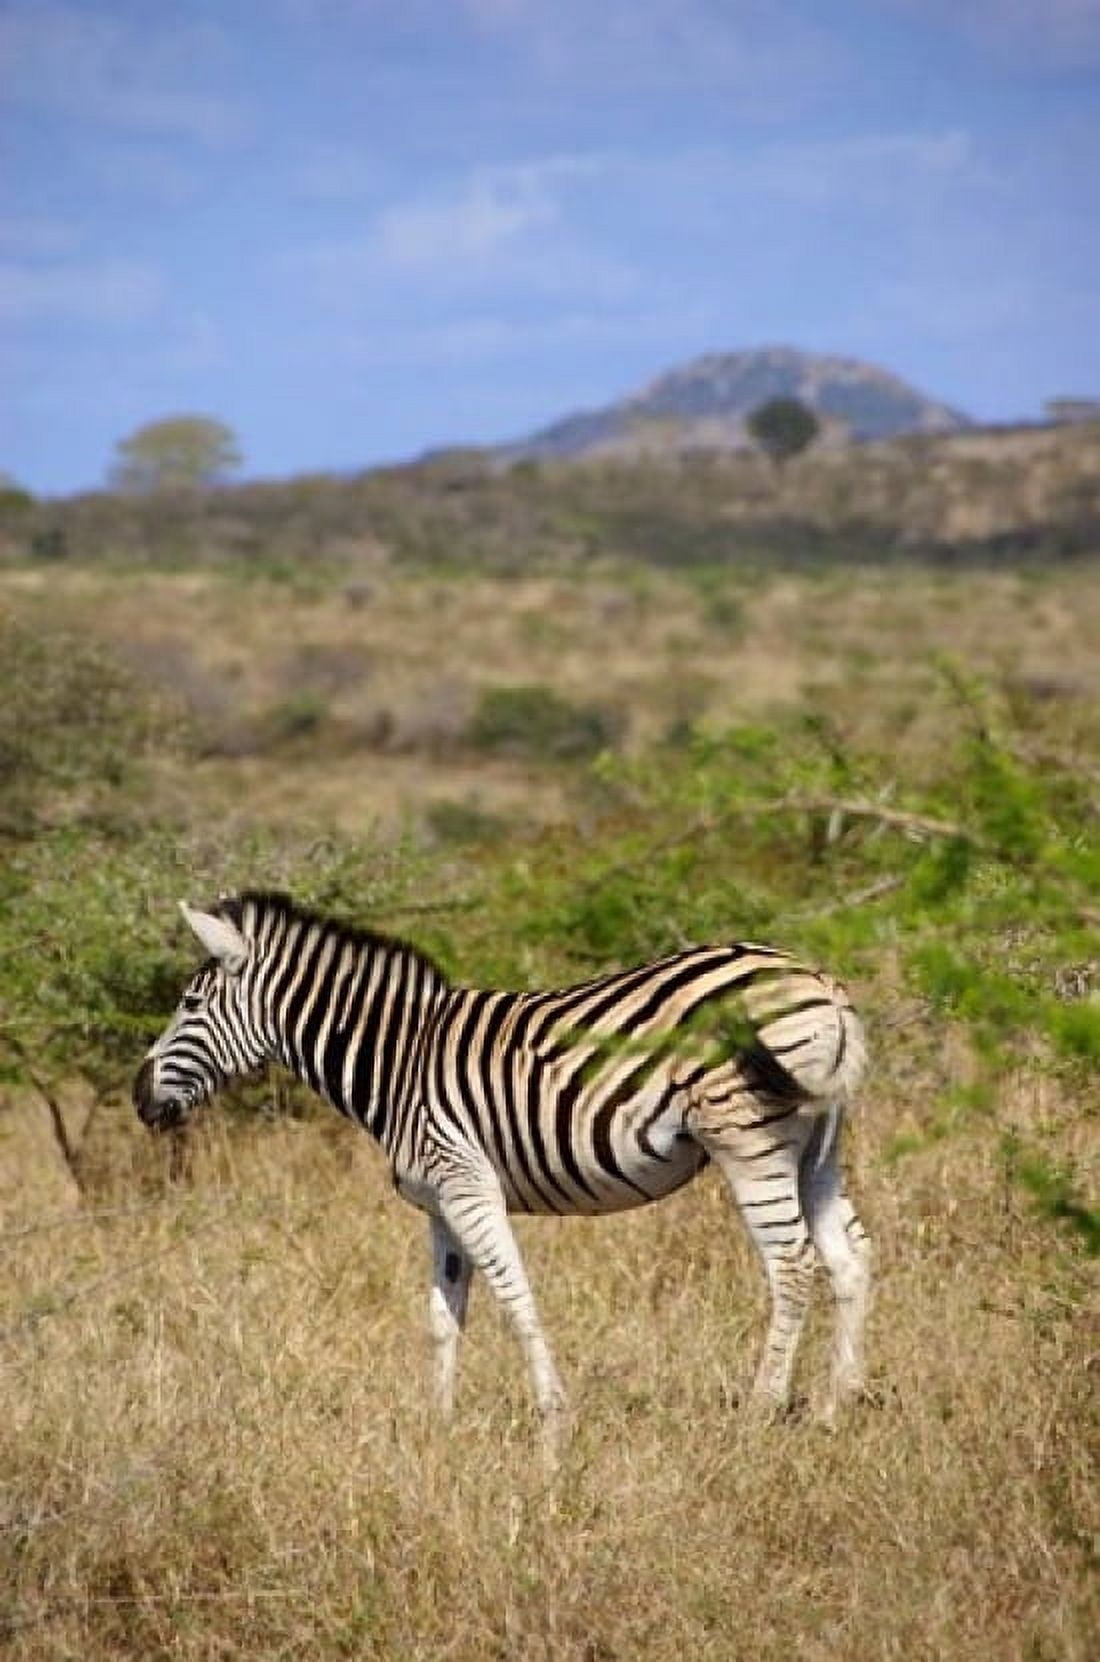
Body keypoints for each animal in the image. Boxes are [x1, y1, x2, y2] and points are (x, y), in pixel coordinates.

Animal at [133, 890, 872, 1444]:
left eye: (190, 1005)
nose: (139, 1097)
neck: (398, 1058)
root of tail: (818, 983)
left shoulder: (466, 1181)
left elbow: (515, 1295)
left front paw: (552, 1421)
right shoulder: (438, 1200)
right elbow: (443, 1312)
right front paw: (437, 1428)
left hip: (746, 1137)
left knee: (792, 1263)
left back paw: (762, 1412)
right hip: (817, 1144)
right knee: (850, 1257)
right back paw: (837, 1406)